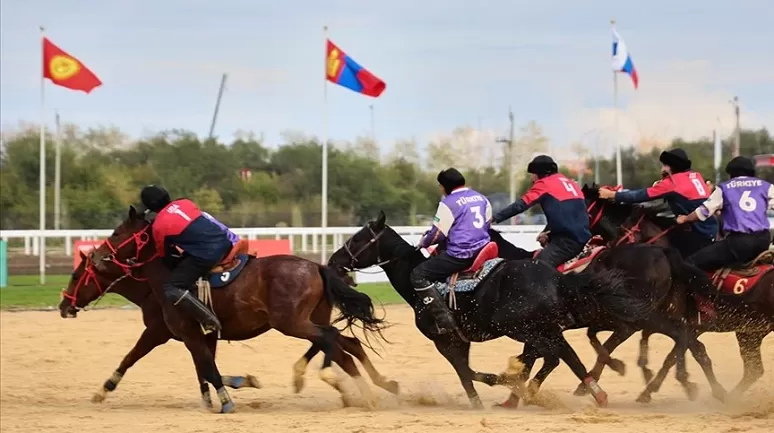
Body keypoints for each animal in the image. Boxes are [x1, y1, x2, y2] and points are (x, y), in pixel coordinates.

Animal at [59, 206, 398, 412]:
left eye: (118, 233)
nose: (64, 305)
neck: (161, 279)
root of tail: (317, 266)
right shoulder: (199, 335)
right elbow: (204, 368)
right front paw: (215, 396)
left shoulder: (167, 331)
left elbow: (150, 359)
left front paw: (227, 397)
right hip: (308, 320)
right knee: (345, 343)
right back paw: (372, 388)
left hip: (293, 323)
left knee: (331, 340)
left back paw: (349, 387)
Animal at [328, 211, 660, 406]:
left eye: (357, 238)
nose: (333, 260)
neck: (418, 286)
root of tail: (555, 278)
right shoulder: (459, 341)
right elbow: (468, 372)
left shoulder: (444, 341)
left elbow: (466, 373)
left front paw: (490, 391)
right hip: (545, 328)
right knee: (567, 357)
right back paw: (591, 393)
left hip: (523, 328)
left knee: (555, 356)